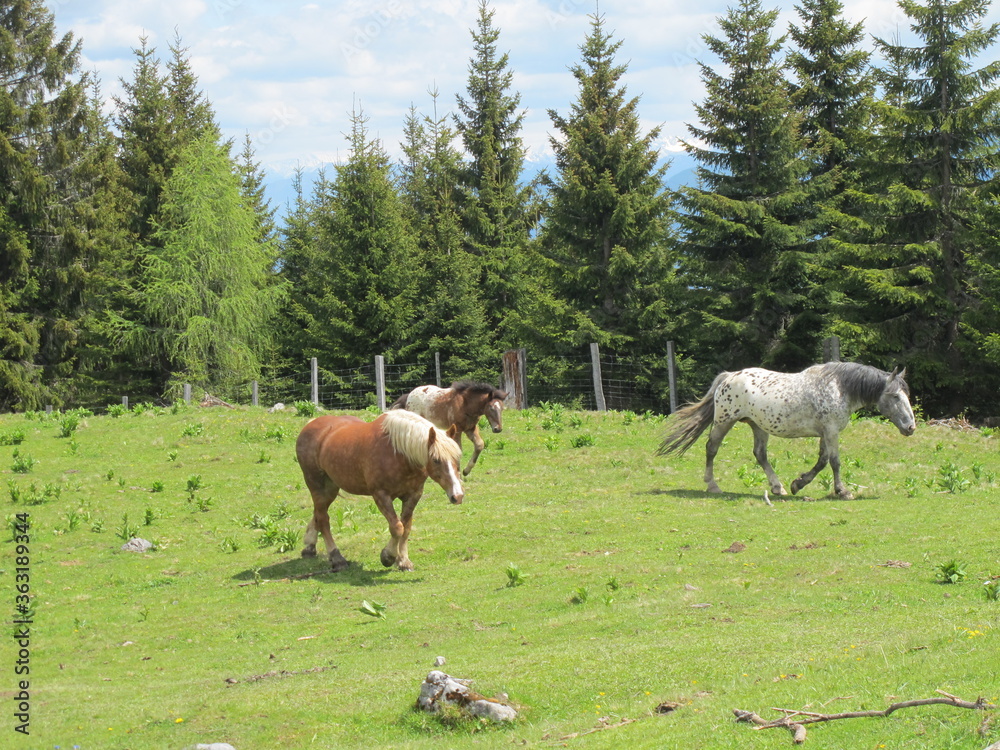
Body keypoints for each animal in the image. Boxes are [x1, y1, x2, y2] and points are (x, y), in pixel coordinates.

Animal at [295, 410, 464, 572]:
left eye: (457, 458)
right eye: (436, 460)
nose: (458, 496)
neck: (398, 453)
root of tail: (310, 425)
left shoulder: (413, 494)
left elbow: (406, 527)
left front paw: (403, 560)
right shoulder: (381, 495)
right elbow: (397, 527)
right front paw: (388, 557)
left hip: (331, 489)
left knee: (318, 514)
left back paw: (309, 547)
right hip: (316, 485)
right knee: (323, 519)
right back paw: (337, 558)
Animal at [657, 362, 916, 499]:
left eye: (907, 394)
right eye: (895, 396)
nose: (910, 427)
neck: (839, 388)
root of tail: (729, 377)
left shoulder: (825, 432)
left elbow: (821, 461)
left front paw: (797, 484)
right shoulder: (831, 431)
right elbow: (834, 462)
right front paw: (842, 491)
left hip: (758, 426)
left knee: (760, 455)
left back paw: (777, 487)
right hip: (724, 421)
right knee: (711, 448)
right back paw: (712, 485)